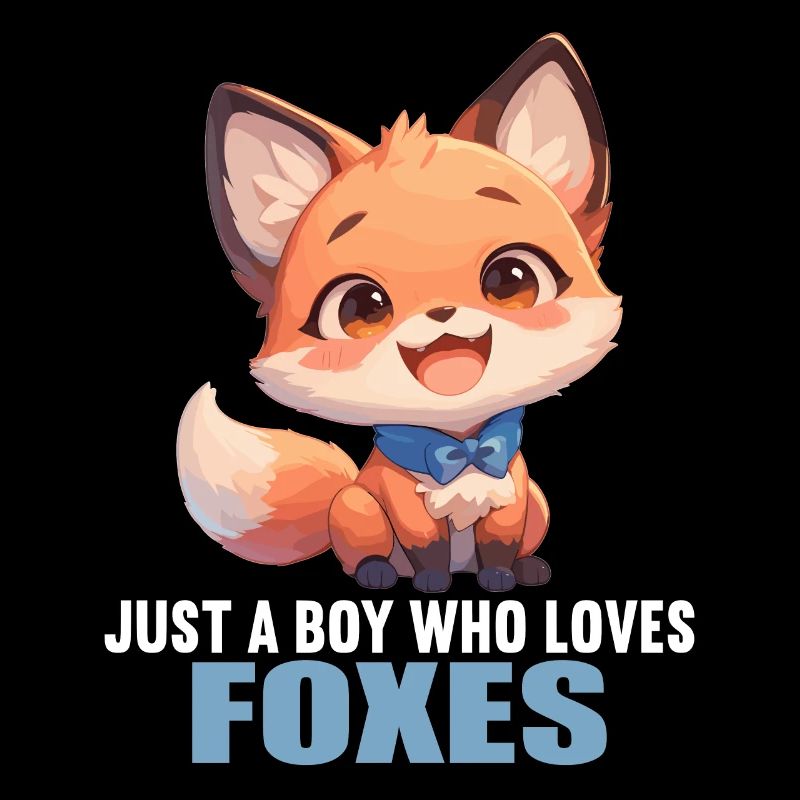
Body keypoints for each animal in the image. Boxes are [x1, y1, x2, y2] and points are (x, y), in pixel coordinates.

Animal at [177, 33, 621, 593]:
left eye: (512, 279)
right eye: (360, 308)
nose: (442, 313)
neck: (462, 446)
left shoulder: (515, 497)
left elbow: (499, 543)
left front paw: (501, 577)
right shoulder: (403, 509)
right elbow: (426, 547)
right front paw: (432, 583)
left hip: (540, 503)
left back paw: (528, 568)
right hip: (355, 504)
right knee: (362, 552)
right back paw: (377, 573)